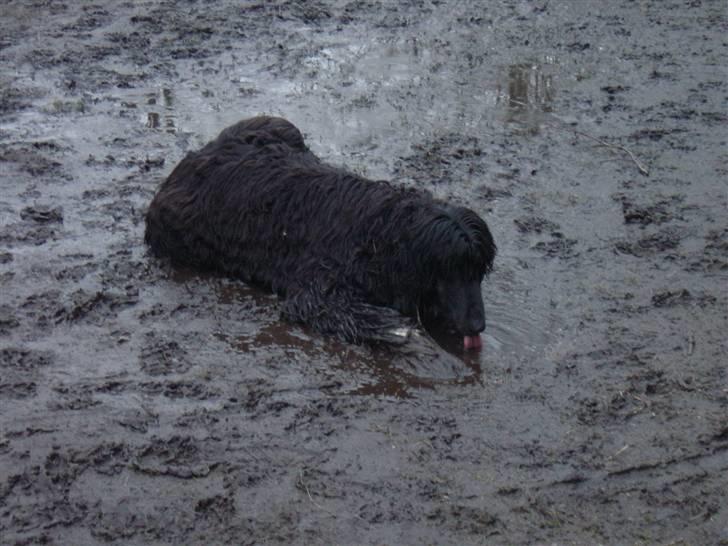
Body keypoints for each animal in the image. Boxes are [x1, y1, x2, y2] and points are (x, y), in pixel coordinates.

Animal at [144, 117, 494, 350]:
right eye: (451, 270)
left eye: (479, 271)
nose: (478, 325)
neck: (381, 236)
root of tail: (190, 159)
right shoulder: (318, 283)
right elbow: (324, 307)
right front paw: (393, 327)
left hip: (279, 125)